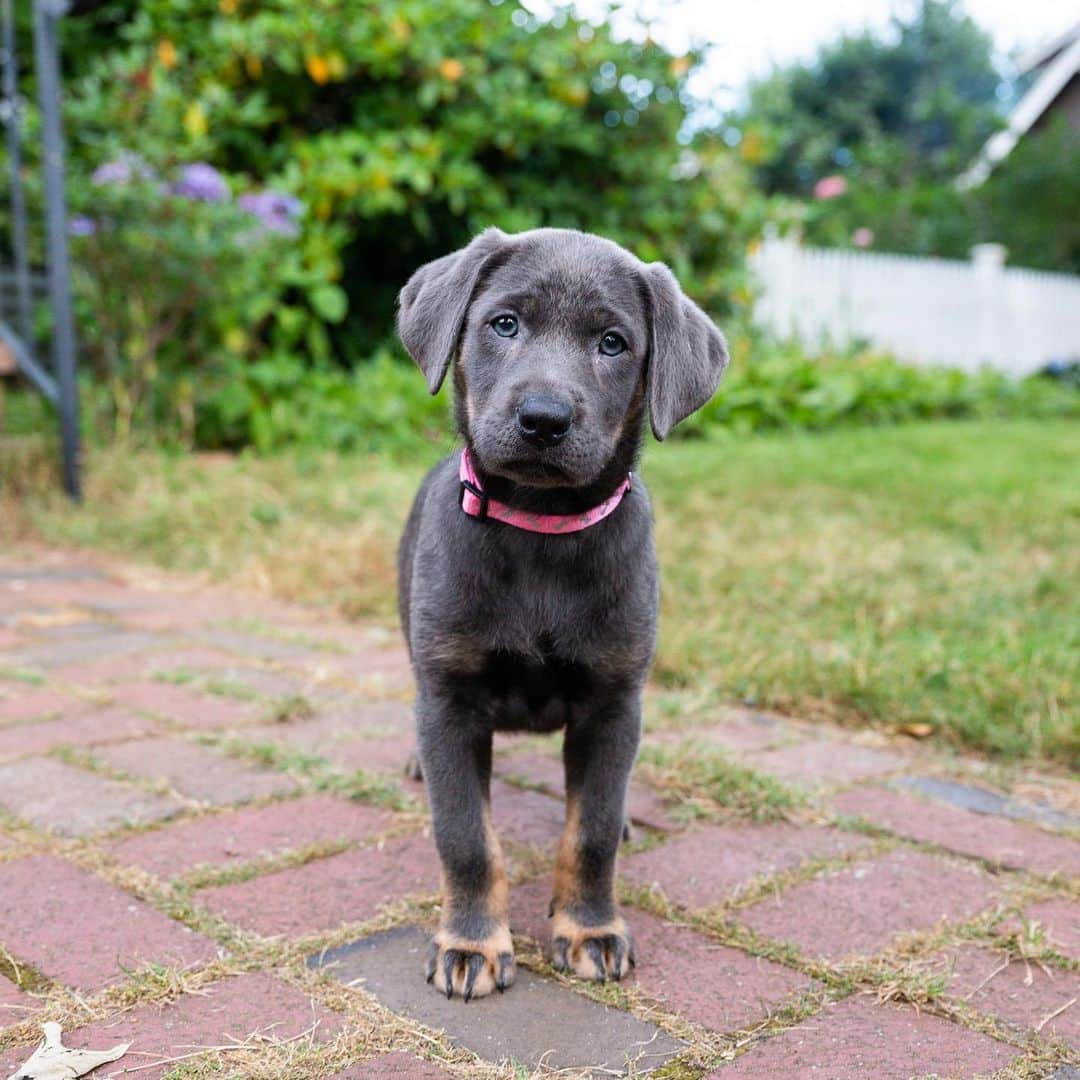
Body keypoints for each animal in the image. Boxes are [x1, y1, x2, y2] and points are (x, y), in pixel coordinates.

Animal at [395, 227, 725, 1002]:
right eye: (504, 323)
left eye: (612, 342)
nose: (543, 419)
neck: (539, 530)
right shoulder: (449, 699)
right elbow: (465, 837)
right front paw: (471, 942)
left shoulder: (613, 703)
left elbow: (592, 831)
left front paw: (590, 928)